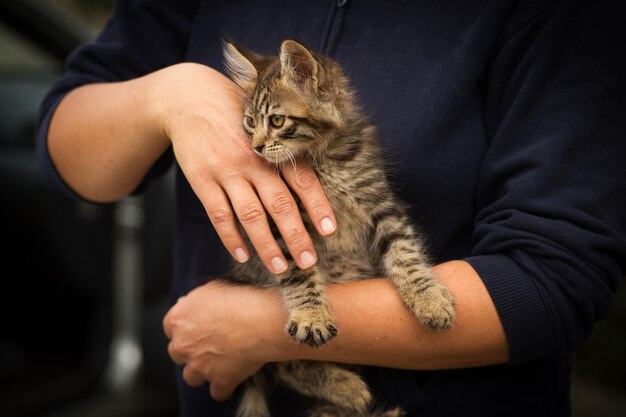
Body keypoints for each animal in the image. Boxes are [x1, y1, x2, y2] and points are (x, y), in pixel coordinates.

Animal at [221, 39, 454, 416]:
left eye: (276, 120)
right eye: (249, 122)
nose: (255, 147)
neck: (322, 158)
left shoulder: (381, 205)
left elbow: (405, 253)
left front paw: (428, 298)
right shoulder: (281, 224)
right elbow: (298, 273)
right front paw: (312, 314)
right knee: (285, 364)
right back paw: (347, 389)